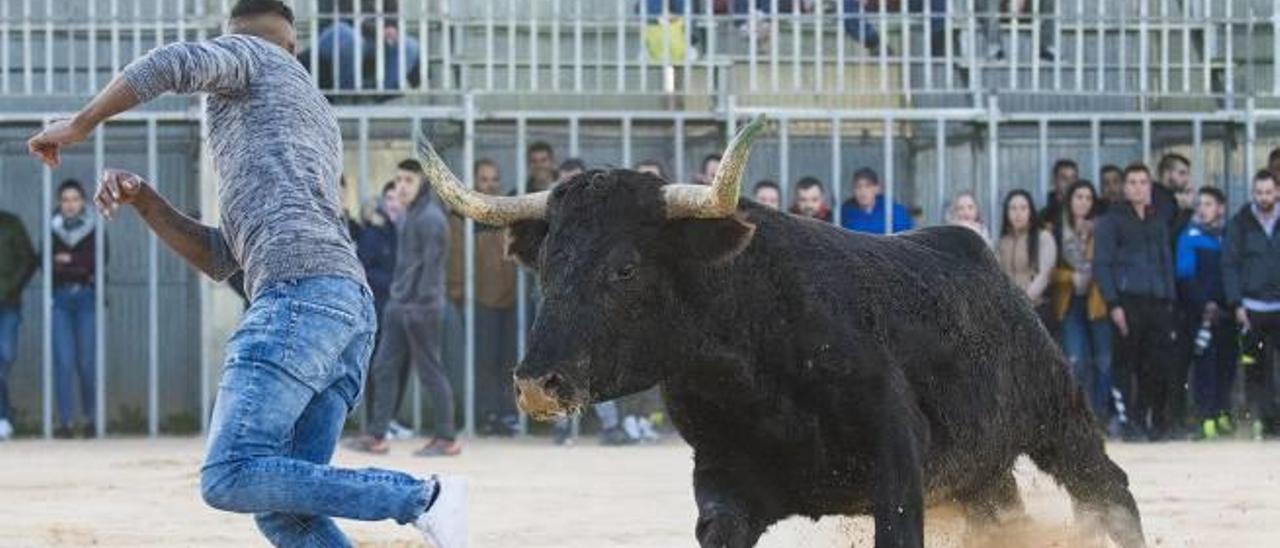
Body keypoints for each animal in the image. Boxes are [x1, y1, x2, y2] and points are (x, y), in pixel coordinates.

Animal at [504, 171, 1146, 548]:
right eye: (547, 265)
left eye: (626, 268)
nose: (537, 383)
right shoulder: (723, 479)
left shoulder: (897, 465)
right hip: (980, 472)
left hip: (1057, 416)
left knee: (1108, 489)